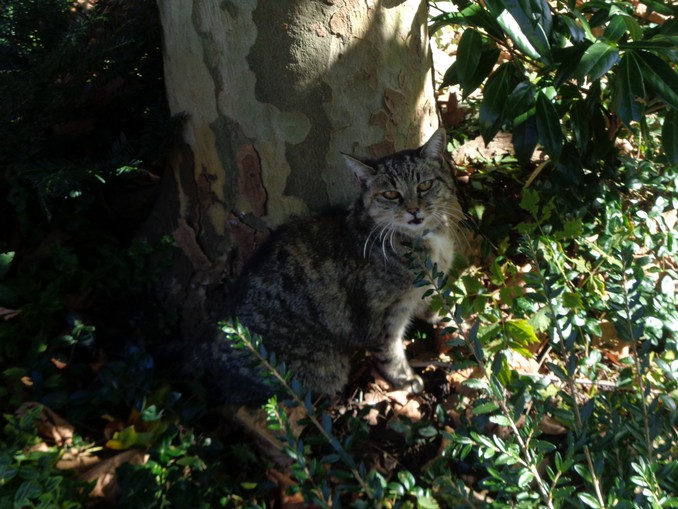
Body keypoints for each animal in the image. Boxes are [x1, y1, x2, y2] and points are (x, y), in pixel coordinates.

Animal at [199, 128, 462, 404]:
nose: (414, 210)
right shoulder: (380, 317)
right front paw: (405, 380)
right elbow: (390, 354)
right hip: (321, 370)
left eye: (425, 185)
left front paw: (446, 314)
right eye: (391, 194)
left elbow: (429, 302)